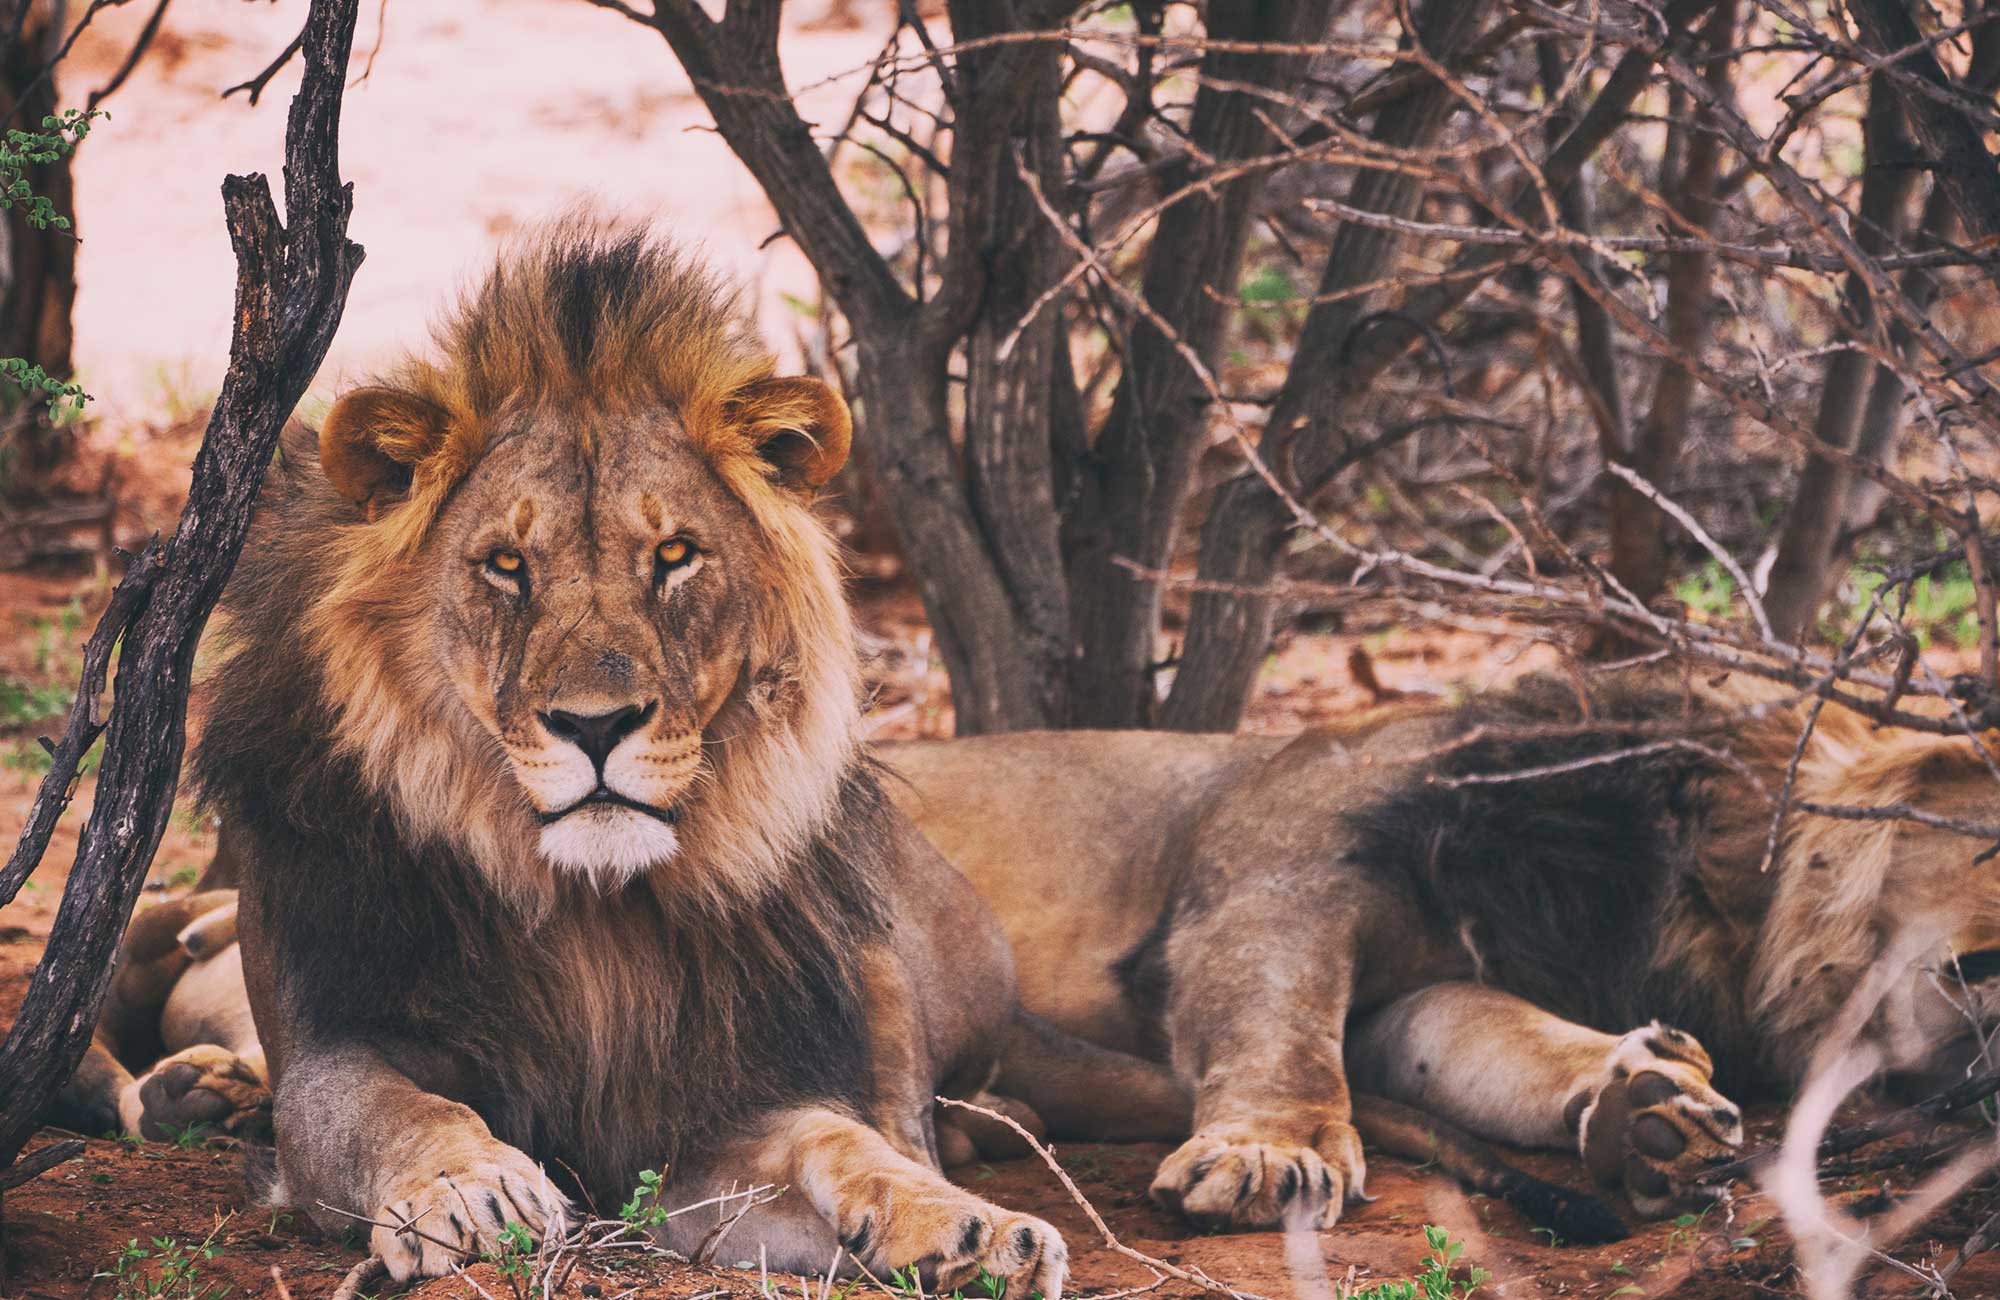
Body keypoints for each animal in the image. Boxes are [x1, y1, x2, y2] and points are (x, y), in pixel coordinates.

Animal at [49, 222, 1219, 1292]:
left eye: (674, 556)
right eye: (505, 566)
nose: (598, 724)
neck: (588, 919)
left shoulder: (717, 1113)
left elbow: (838, 1136)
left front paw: (958, 1226)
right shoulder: (335, 1039)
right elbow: (398, 1108)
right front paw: (470, 1189)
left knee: (914, 1103)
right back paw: (198, 1092)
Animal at [882, 672, 2000, 1233]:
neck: (1722, 903)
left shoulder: (1434, 986)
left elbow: (1495, 1043)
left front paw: (1654, 1110)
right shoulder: (1285, 853)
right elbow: (1280, 1017)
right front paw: (1271, 1153)